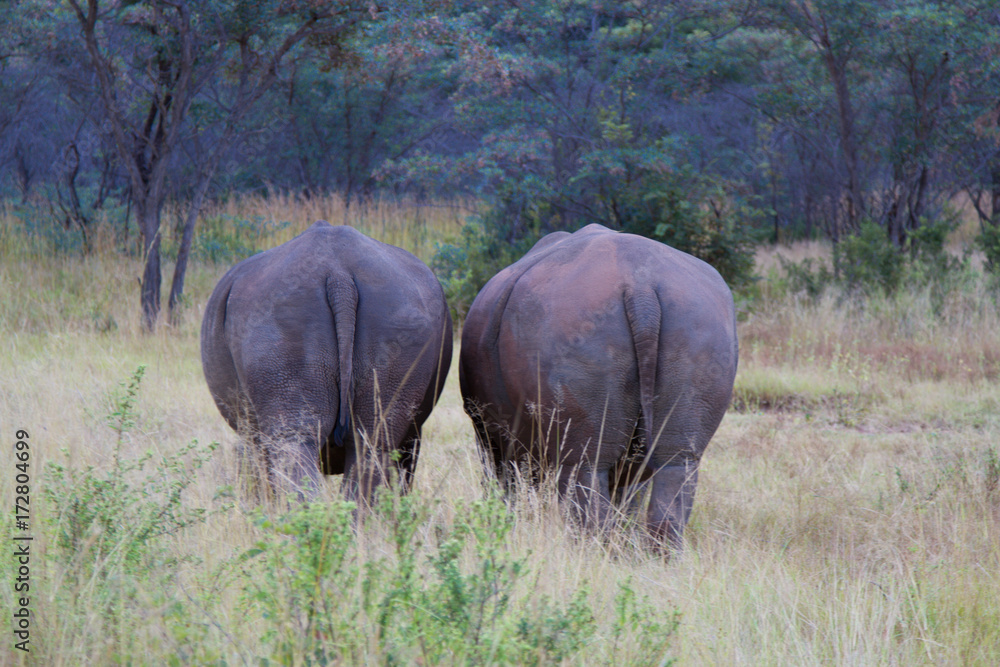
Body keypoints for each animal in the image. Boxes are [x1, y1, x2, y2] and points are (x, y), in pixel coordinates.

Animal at [459, 223, 737, 547]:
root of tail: (640, 287)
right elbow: (631, 491)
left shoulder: (494, 432)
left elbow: (506, 477)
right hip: (698, 325)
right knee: (676, 463)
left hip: (574, 322)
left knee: (584, 467)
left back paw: (589, 551)